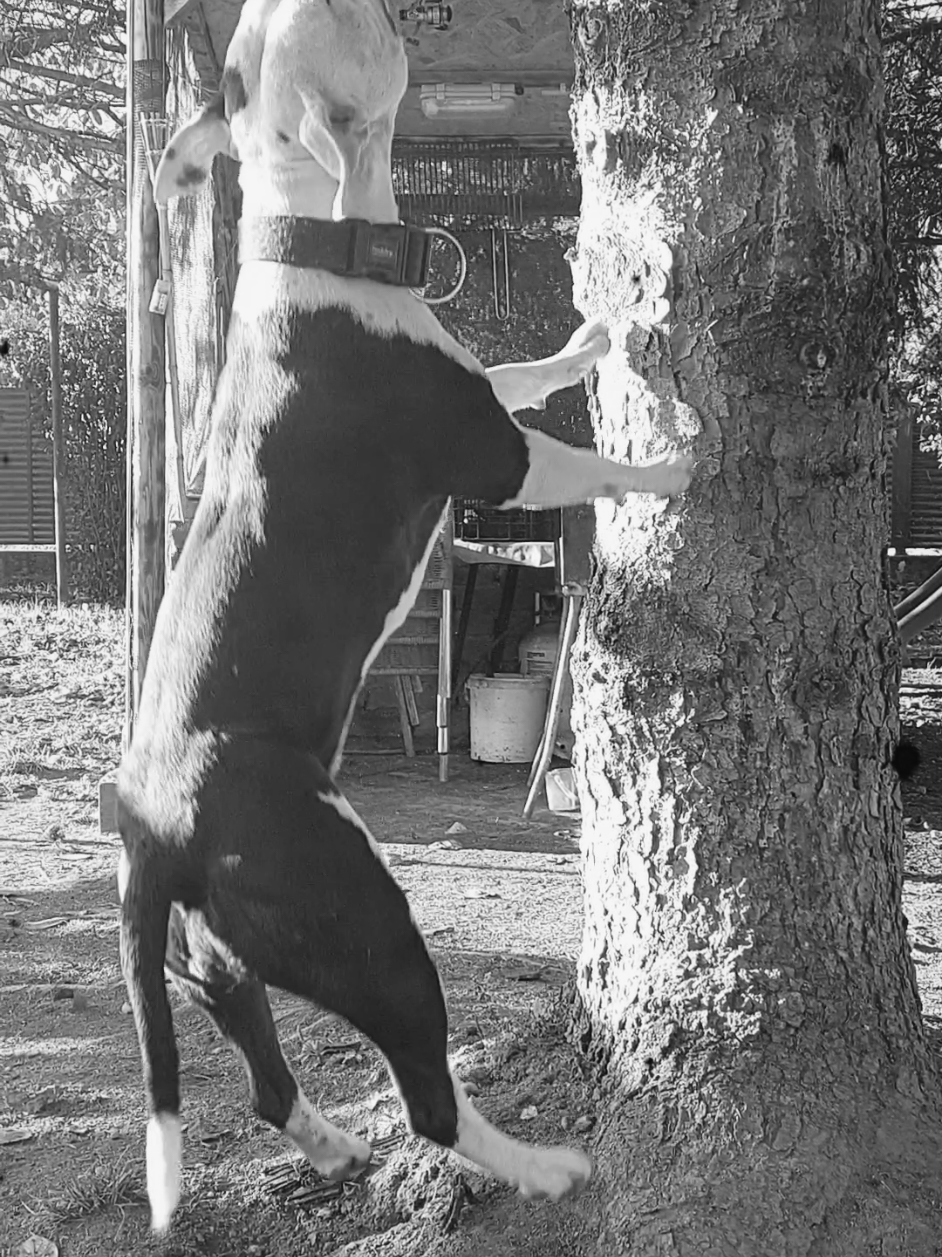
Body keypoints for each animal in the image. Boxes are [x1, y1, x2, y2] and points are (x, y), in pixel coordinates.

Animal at [118, 0, 695, 1232]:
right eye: (331, 20)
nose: (391, 9)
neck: (313, 237)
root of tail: (152, 827)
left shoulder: (487, 397)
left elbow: (529, 370)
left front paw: (590, 335)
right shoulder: (492, 456)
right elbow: (586, 462)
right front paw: (671, 468)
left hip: (226, 958)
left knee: (264, 1071)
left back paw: (334, 1143)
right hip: (367, 924)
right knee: (428, 1095)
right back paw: (544, 1167)